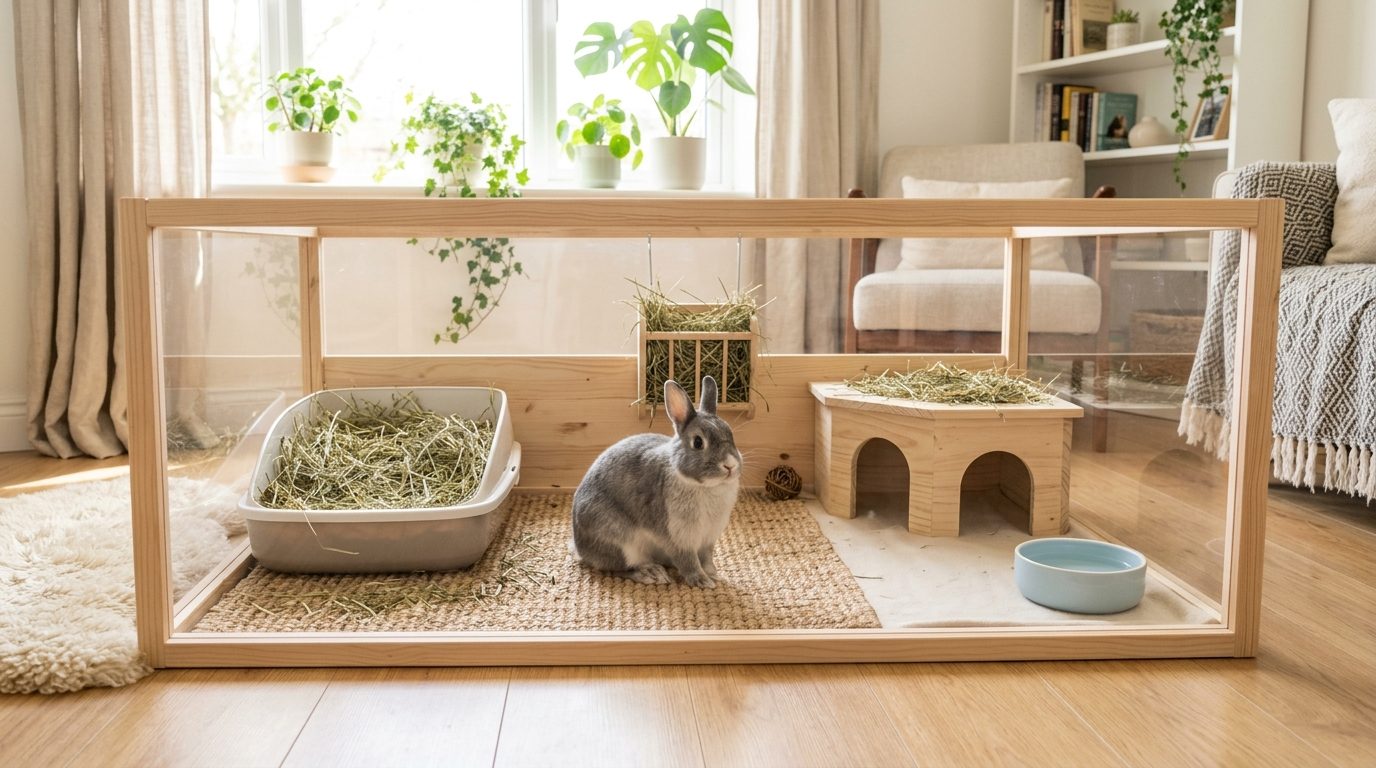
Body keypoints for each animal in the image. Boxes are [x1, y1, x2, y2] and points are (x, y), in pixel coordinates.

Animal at [571, 375, 742, 588]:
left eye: (730, 434)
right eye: (698, 442)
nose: (730, 465)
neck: (706, 486)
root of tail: (580, 548)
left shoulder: (708, 539)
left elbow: (706, 558)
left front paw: (714, 575)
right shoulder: (679, 538)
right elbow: (689, 561)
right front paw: (702, 581)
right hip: (620, 543)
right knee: (618, 569)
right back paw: (651, 574)